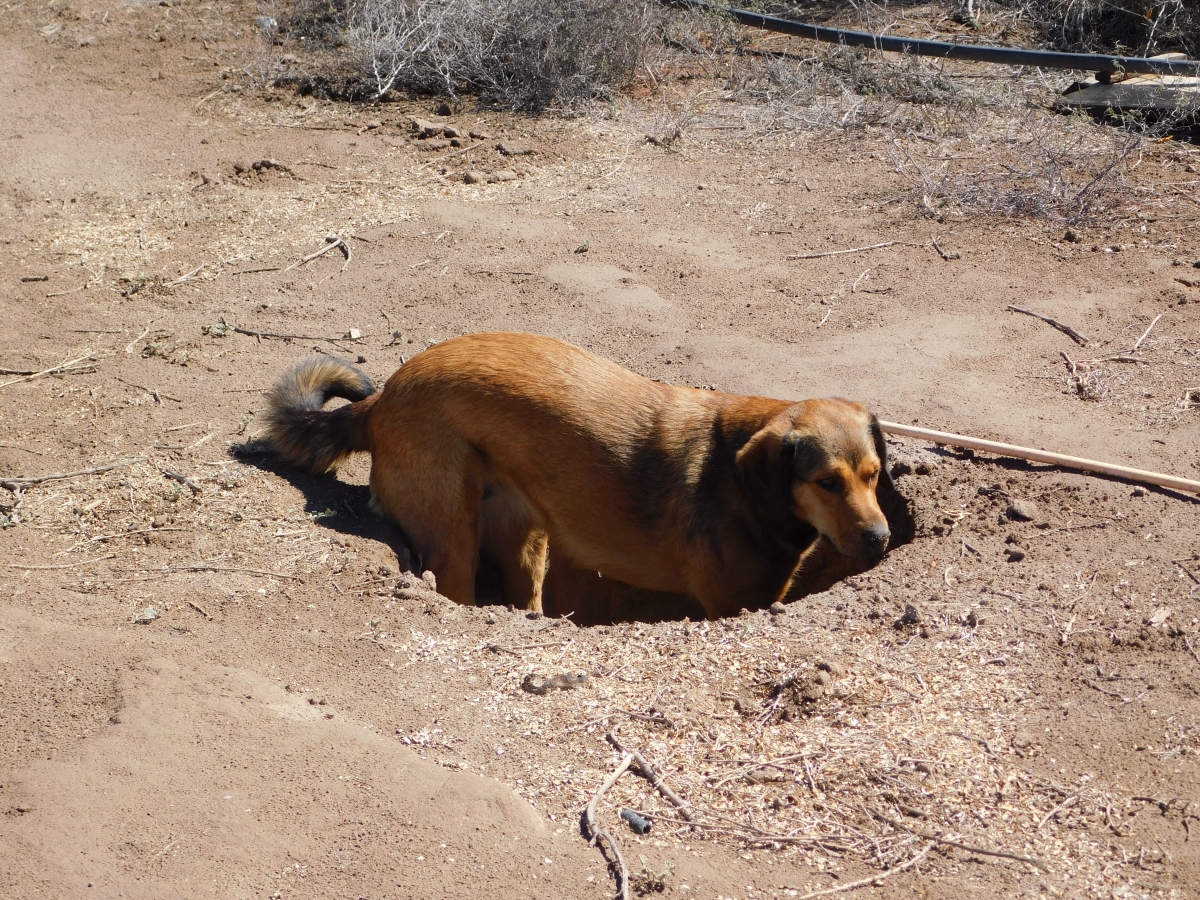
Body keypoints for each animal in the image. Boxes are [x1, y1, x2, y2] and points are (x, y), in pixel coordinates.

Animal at [267, 331, 897, 619]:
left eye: (872, 476)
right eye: (827, 482)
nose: (880, 539)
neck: (740, 479)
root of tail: (382, 399)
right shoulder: (726, 604)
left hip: (527, 543)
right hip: (454, 541)